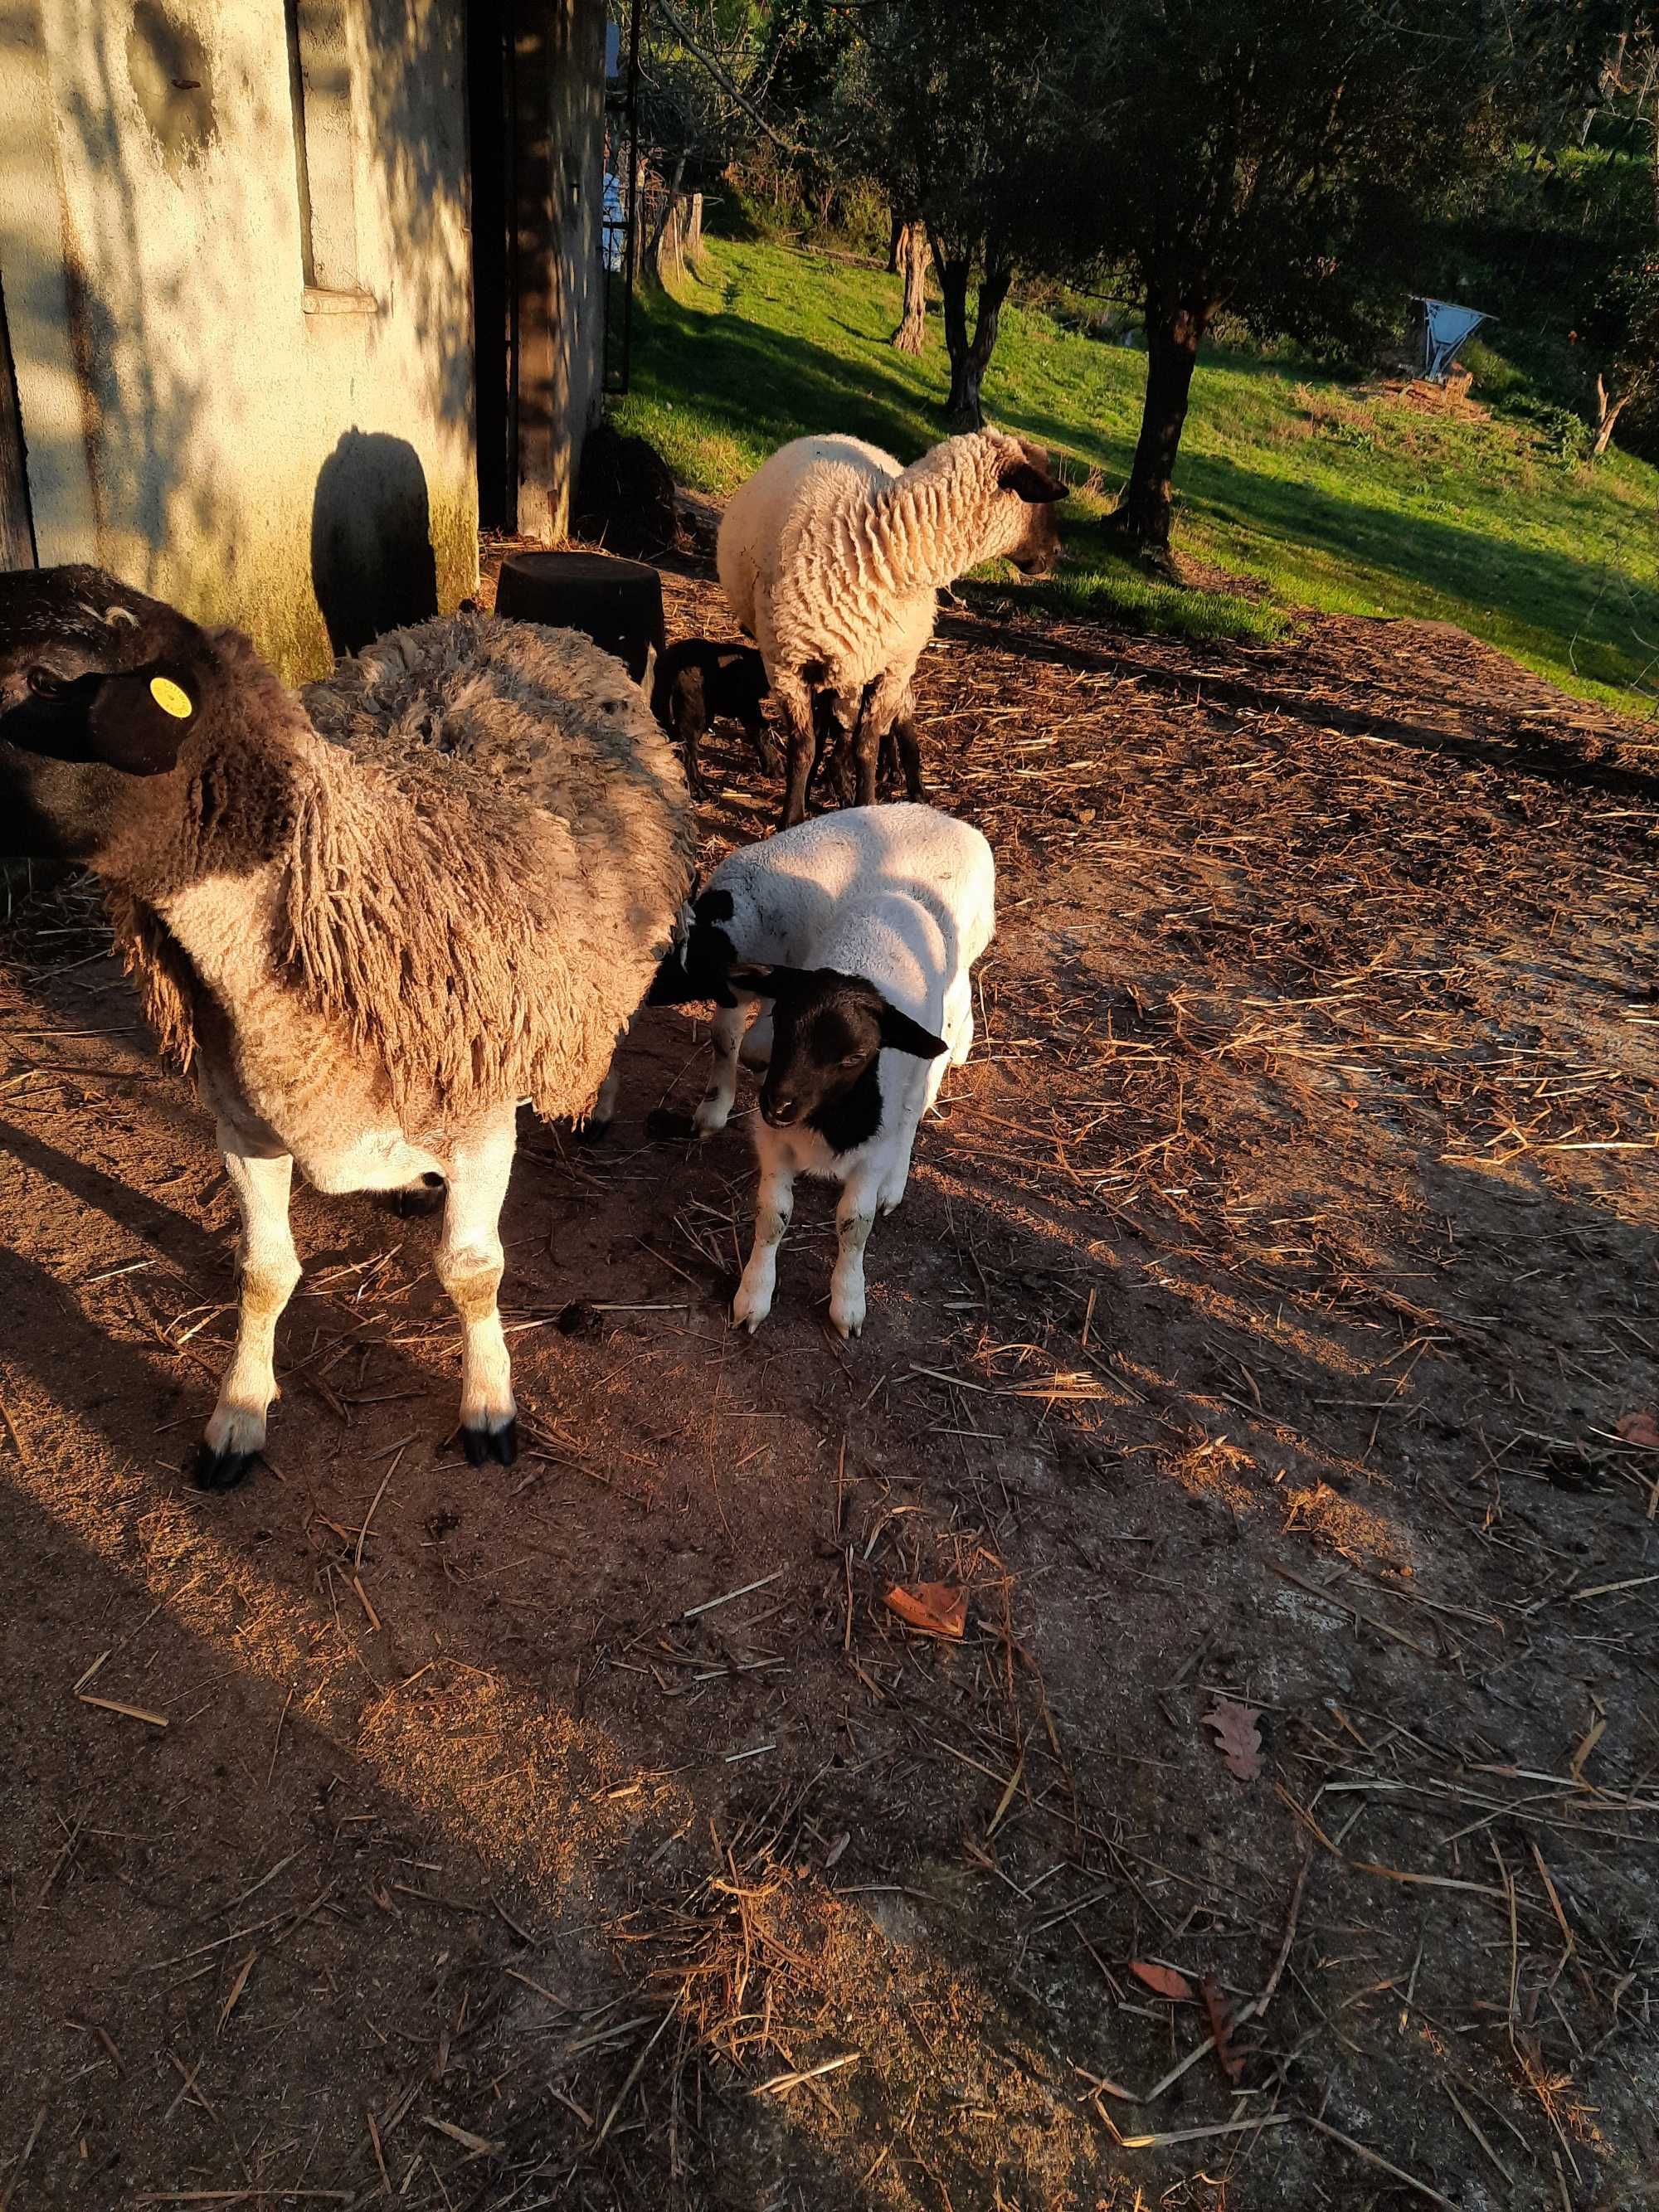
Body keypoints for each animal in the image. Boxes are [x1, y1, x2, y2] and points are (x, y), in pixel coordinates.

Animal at [721, 426, 1070, 827]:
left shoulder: (894, 666)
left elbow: (866, 745)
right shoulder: (786, 663)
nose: (1055, 553)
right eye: (1041, 496)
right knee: (823, 728)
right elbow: (803, 746)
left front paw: (865, 803)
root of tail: (832, 433)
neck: (885, 543)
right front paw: (792, 816)